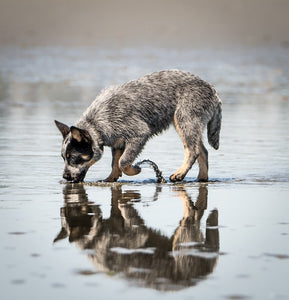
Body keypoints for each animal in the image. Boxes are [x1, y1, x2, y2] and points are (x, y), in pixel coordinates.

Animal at [54, 69, 220, 183]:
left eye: (73, 158)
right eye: (63, 157)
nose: (65, 176)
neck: (97, 122)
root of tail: (212, 88)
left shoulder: (139, 134)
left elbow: (123, 162)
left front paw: (135, 170)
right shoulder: (117, 142)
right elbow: (115, 163)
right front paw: (111, 179)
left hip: (184, 120)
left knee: (193, 151)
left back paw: (179, 174)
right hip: (190, 125)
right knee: (203, 152)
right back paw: (202, 179)